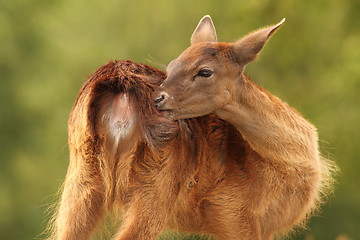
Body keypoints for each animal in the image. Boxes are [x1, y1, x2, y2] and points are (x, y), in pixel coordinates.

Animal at [47, 15, 334, 239]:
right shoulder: (233, 210)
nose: (159, 98)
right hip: (158, 180)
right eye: (173, 66)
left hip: (81, 176)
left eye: (204, 71)